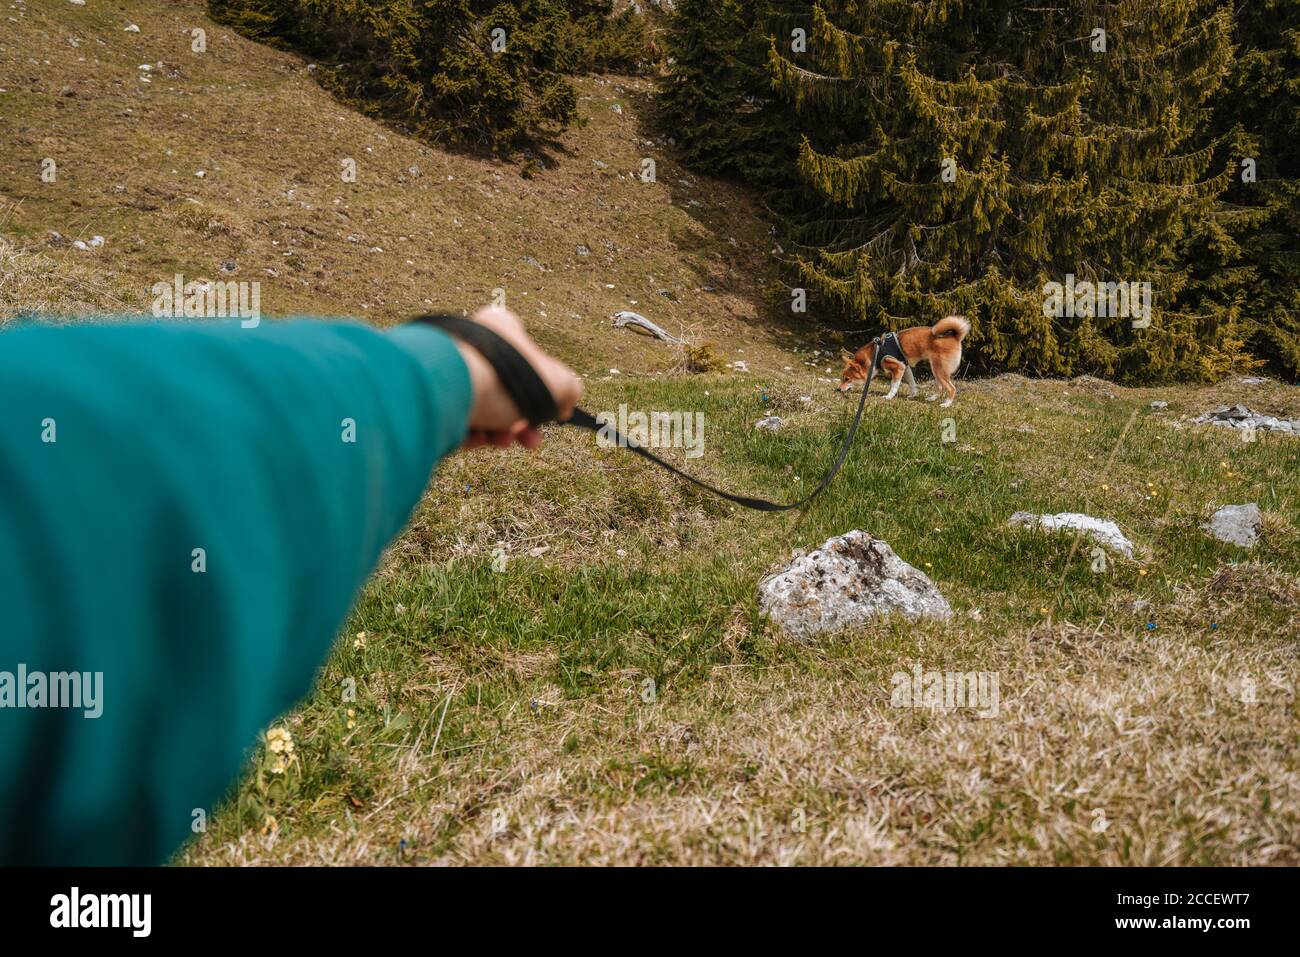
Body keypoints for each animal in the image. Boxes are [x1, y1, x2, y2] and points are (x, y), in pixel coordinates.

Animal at [837, 314, 972, 403]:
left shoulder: (898, 367)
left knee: (951, 388)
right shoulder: (905, 367)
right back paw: (932, 398)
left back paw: (946, 404)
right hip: (936, 370)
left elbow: (894, 385)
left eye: (847, 379)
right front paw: (913, 395)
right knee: (941, 387)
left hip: (939, 369)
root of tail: (955, 336)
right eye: (842, 378)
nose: (838, 389)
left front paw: (889, 396)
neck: (875, 354)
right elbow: (912, 383)